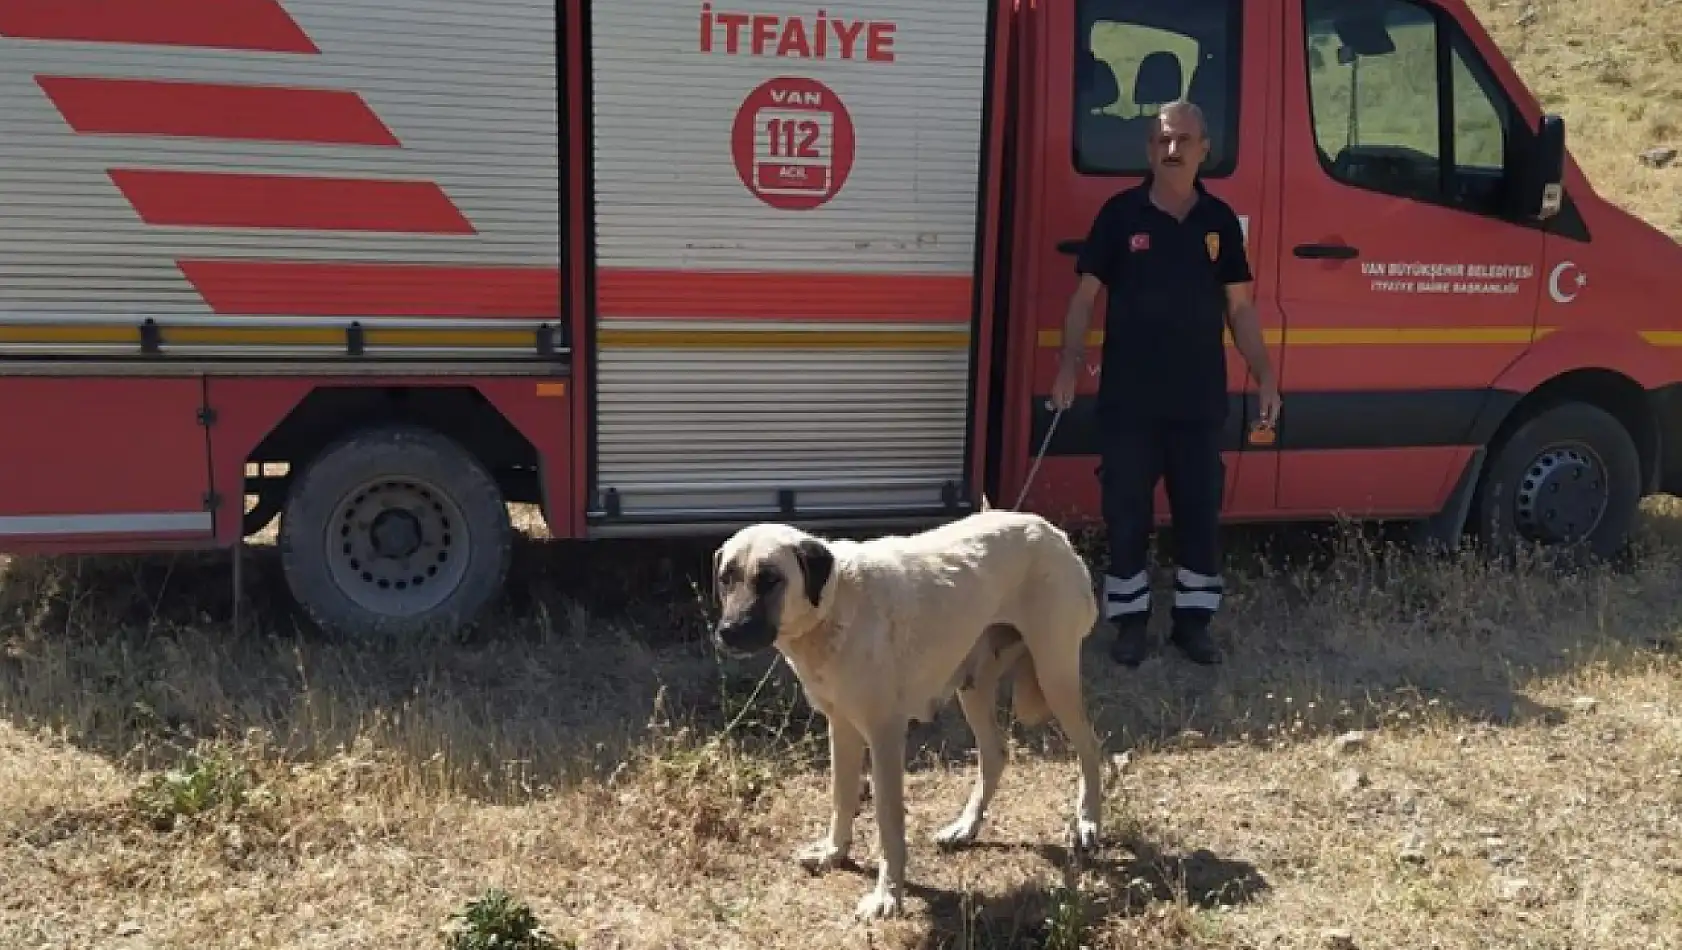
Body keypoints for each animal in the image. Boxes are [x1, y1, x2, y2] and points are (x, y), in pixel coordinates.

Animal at [709, 504, 1103, 921]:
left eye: (770, 580)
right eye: (726, 579)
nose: (728, 631)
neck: (834, 605)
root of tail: (1052, 531)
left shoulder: (885, 736)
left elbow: (888, 821)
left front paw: (888, 896)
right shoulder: (842, 727)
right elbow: (841, 796)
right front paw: (834, 853)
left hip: (1054, 674)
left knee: (1090, 747)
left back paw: (1089, 821)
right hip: (974, 685)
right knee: (995, 754)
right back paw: (965, 827)